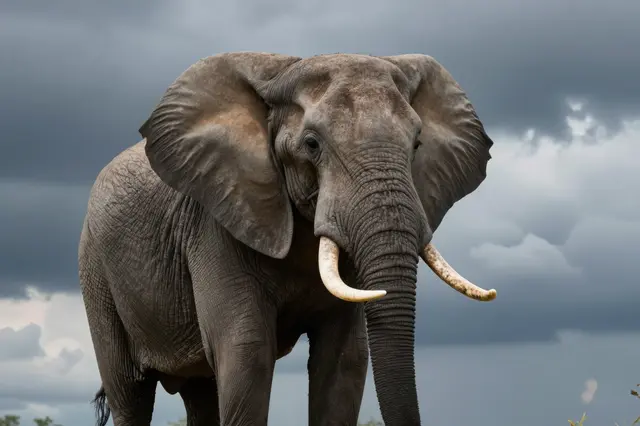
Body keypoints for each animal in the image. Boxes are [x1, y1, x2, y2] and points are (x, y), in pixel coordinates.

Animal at [78, 51, 497, 426]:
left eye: (417, 144)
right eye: (312, 144)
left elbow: (344, 358)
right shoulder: (217, 223)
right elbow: (247, 352)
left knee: (201, 393)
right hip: (95, 272)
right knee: (130, 394)